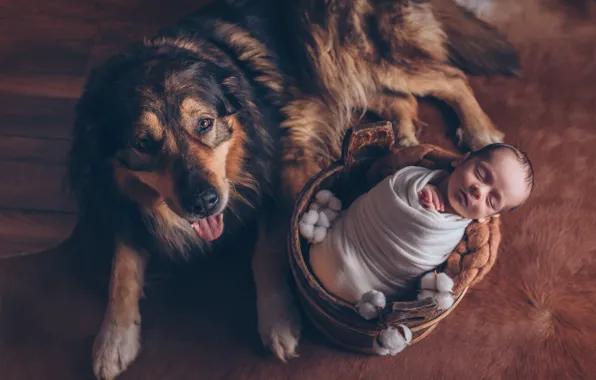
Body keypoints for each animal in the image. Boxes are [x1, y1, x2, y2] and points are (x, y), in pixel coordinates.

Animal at [67, 0, 520, 378]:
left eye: (204, 123)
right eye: (144, 144)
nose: (204, 203)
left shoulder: (281, 167)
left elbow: (265, 253)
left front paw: (278, 319)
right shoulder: (118, 200)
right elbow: (122, 268)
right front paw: (113, 339)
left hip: (358, 59)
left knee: (450, 77)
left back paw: (480, 133)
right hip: (338, 72)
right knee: (401, 100)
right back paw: (405, 140)